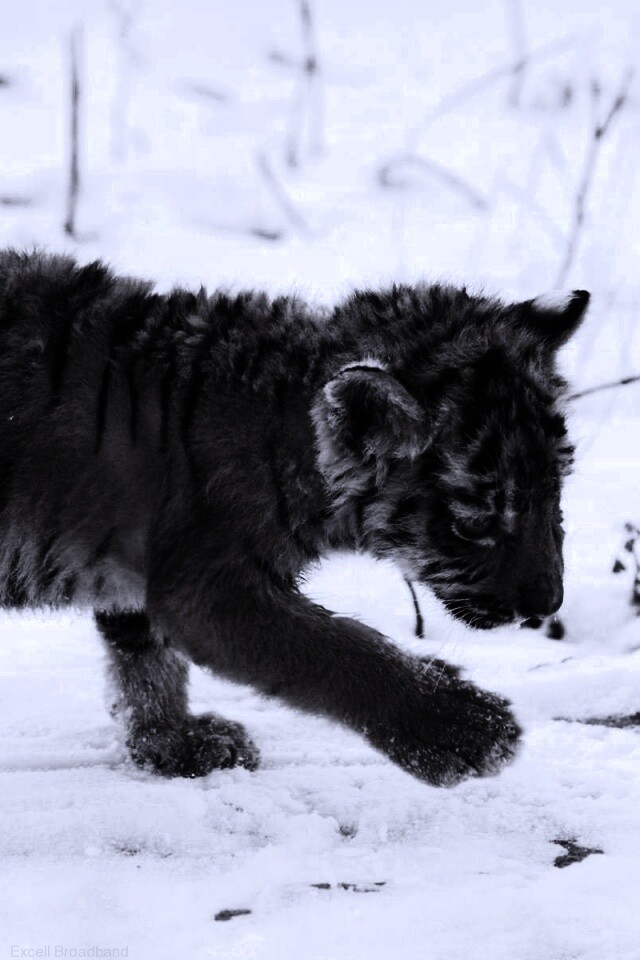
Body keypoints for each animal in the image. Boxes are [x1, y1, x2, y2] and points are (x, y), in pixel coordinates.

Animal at [0, 250, 589, 785]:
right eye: (476, 523)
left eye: (555, 492)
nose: (547, 604)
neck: (286, 428)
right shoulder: (210, 590)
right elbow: (334, 647)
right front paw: (462, 729)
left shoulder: (143, 571)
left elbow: (146, 661)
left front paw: (173, 743)